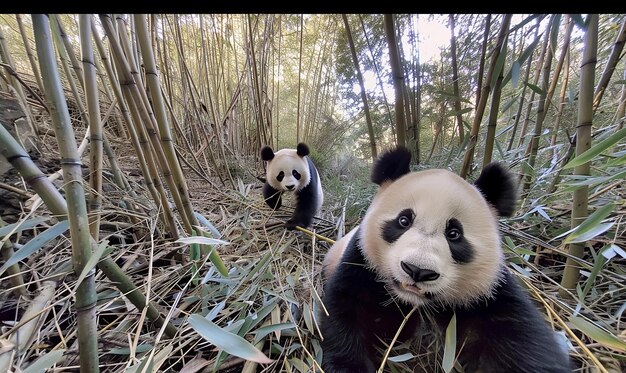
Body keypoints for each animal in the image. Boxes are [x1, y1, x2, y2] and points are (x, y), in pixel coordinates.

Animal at [320, 147, 568, 372]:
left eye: (454, 234)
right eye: (403, 220)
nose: (418, 270)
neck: (411, 301)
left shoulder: (487, 293)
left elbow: (520, 339)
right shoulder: (361, 263)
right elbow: (343, 314)